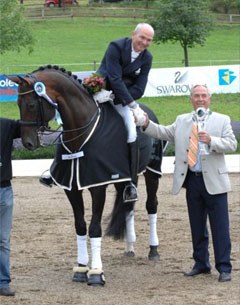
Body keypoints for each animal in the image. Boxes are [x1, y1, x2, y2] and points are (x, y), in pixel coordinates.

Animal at [7, 64, 165, 284]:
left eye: (30, 104)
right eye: (18, 104)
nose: (28, 143)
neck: (79, 135)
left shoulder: (98, 185)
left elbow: (94, 227)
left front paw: (96, 272)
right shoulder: (72, 188)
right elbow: (80, 226)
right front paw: (81, 269)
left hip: (152, 172)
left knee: (151, 205)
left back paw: (153, 250)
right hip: (125, 178)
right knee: (128, 206)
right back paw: (129, 247)